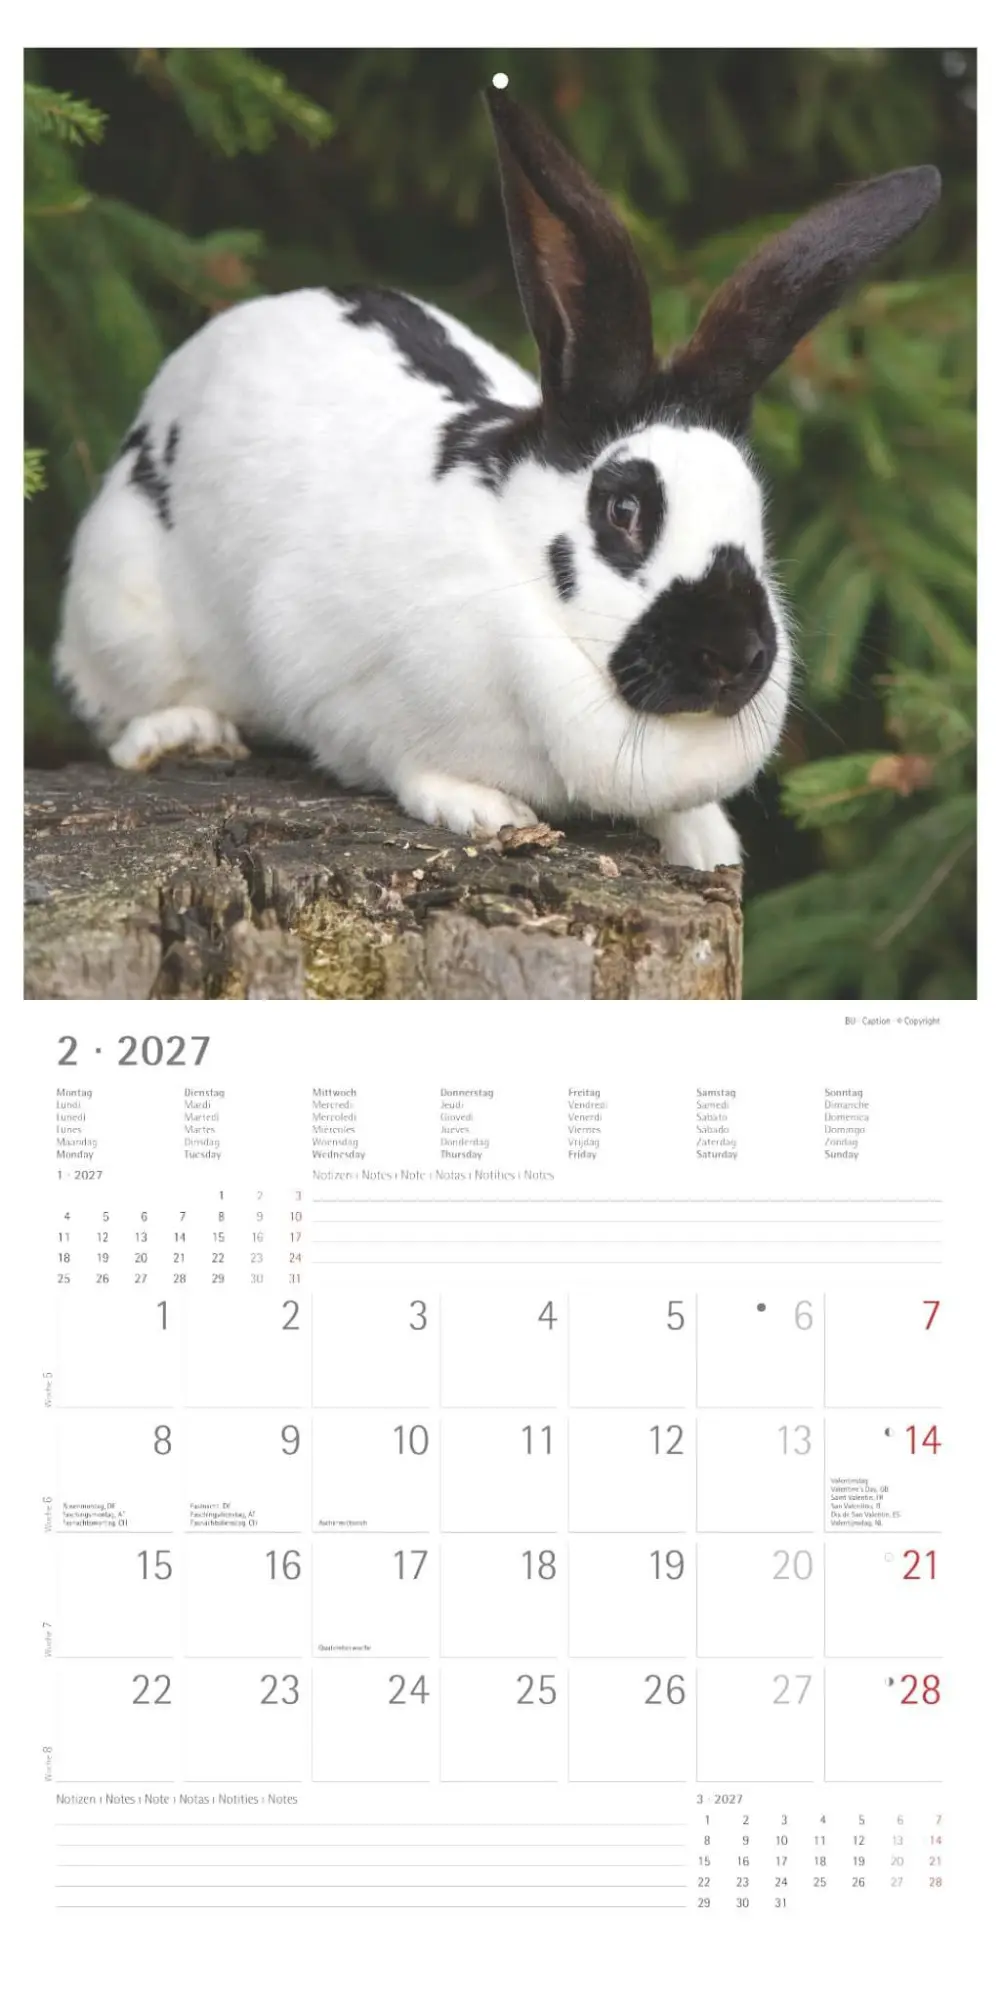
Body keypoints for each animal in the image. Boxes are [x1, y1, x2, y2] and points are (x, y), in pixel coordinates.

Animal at [54, 85, 940, 870]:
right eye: (624, 510)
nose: (734, 656)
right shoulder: (332, 678)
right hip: (121, 602)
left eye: (755, 517)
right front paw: (484, 810)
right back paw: (184, 733)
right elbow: (400, 757)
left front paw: (702, 840)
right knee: (117, 712)